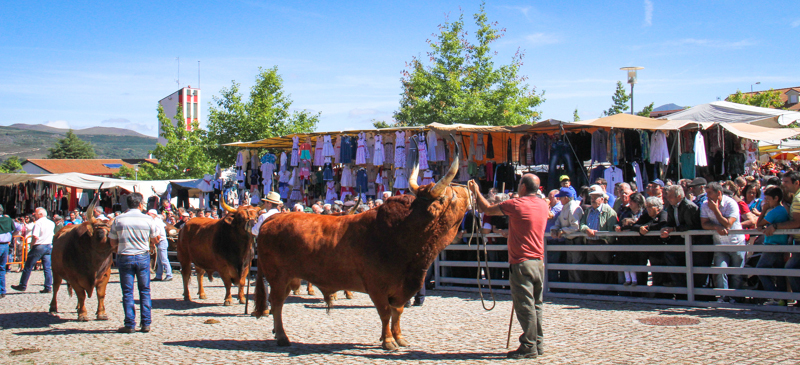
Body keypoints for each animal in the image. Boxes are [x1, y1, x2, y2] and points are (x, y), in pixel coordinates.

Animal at [255, 134, 468, 350]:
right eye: (446, 197)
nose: (467, 190)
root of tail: (273, 218)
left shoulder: (402, 288)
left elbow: (397, 312)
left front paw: (399, 337)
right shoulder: (377, 286)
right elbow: (385, 312)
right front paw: (388, 341)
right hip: (278, 276)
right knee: (276, 303)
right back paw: (282, 337)